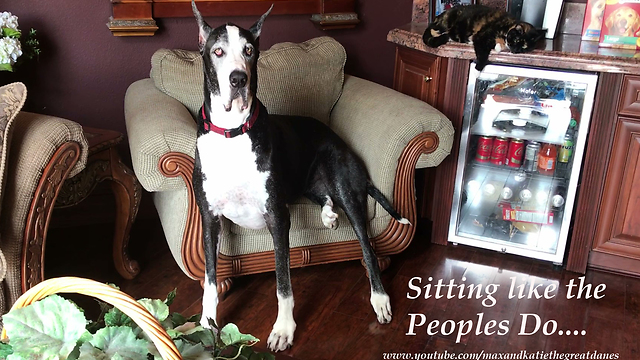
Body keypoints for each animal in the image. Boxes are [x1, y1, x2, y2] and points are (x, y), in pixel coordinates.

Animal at [191, 1, 410, 352]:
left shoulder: (277, 217)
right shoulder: (210, 219)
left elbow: (283, 282)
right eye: (218, 51)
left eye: (249, 50)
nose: (238, 79)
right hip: (308, 184)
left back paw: (379, 298)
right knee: (324, 197)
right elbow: (211, 281)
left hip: (346, 187)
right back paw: (328, 215)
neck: (233, 132)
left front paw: (283, 329)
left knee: (368, 248)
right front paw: (206, 326)